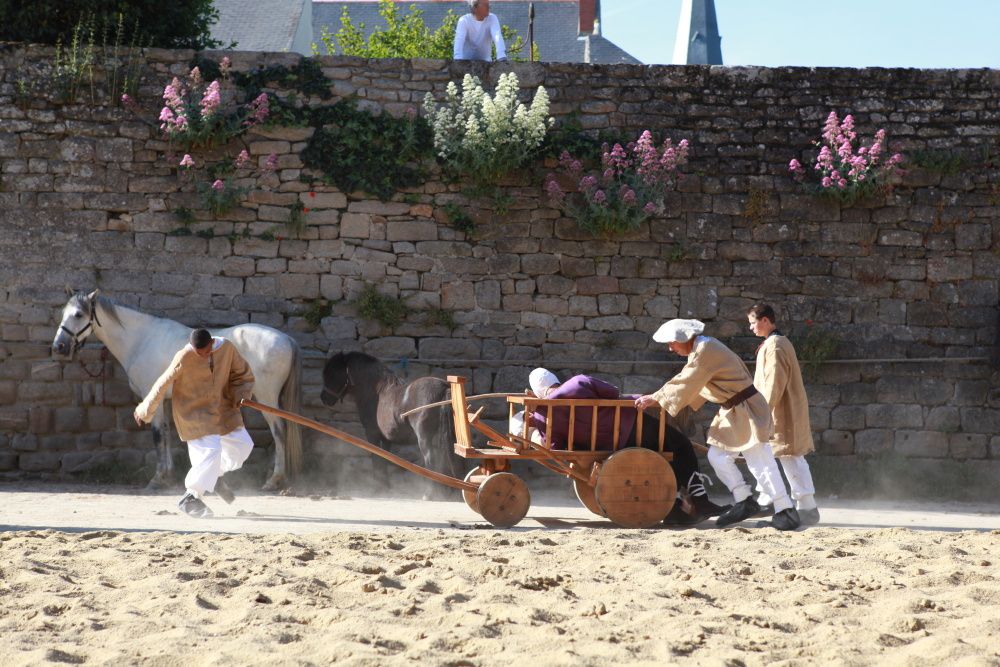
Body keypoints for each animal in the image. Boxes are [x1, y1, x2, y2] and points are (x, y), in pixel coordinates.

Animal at [52, 290, 300, 490]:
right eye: (63, 313)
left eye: (78, 314)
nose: (59, 347)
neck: (142, 339)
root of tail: (286, 338)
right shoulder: (163, 399)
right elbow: (166, 433)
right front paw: (169, 476)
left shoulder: (151, 398)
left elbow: (157, 435)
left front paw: (158, 479)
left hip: (266, 398)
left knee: (279, 431)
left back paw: (274, 480)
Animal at [320, 352, 460, 498]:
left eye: (333, 374)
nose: (324, 398)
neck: (376, 393)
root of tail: (443, 388)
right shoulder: (386, 438)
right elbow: (385, 458)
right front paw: (385, 486)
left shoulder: (372, 434)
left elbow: (376, 458)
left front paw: (378, 487)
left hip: (424, 438)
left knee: (431, 460)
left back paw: (429, 494)